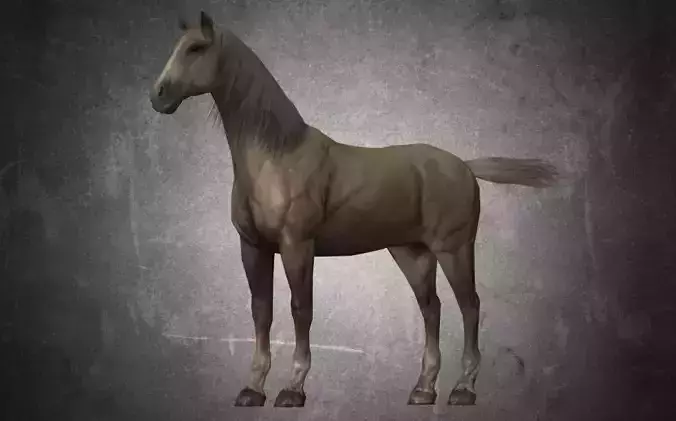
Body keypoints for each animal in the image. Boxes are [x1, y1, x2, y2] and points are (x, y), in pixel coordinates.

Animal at [149, 11, 558, 408]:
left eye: (196, 48)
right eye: (178, 46)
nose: (158, 96)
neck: (276, 158)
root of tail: (465, 165)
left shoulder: (297, 246)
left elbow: (301, 308)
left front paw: (293, 389)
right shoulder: (253, 247)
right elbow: (261, 310)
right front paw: (252, 390)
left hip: (454, 250)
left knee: (470, 306)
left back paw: (463, 389)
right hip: (413, 254)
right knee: (432, 308)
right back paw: (423, 389)